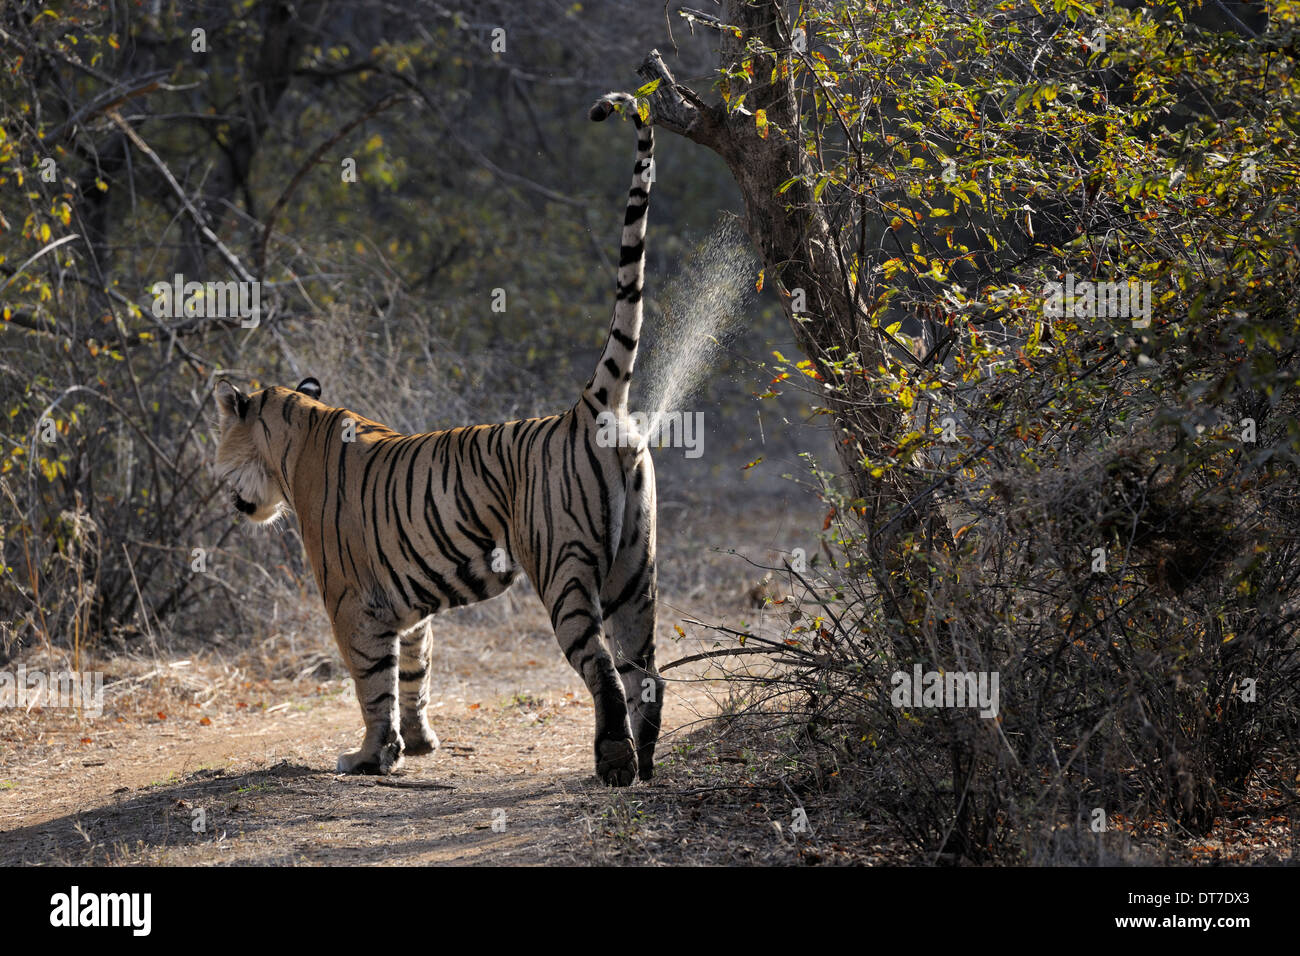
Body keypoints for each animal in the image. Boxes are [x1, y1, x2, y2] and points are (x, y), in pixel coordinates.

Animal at [215, 93, 660, 790]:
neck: (294, 432)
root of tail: (589, 406)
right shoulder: (408, 605)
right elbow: (414, 672)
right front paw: (420, 745)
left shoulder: (350, 603)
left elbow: (371, 685)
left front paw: (370, 758)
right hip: (635, 569)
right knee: (648, 674)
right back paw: (647, 763)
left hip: (564, 572)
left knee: (605, 672)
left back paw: (614, 764)